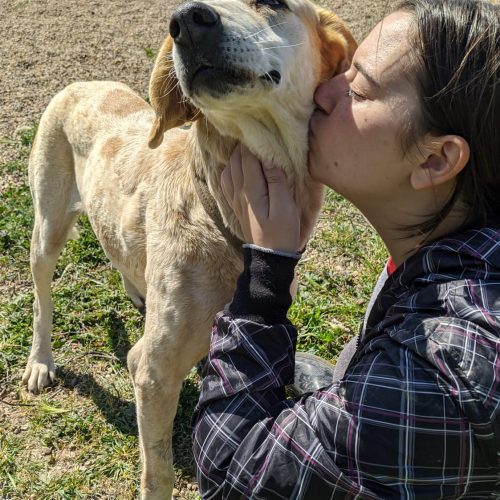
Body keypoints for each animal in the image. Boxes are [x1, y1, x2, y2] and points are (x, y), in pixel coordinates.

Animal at [21, 0, 354, 496]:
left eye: (274, 3)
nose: (187, 21)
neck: (217, 212)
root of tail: (81, 84)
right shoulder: (152, 372)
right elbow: (156, 473)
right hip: (47, 228)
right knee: (42, 300)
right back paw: (40, 361)